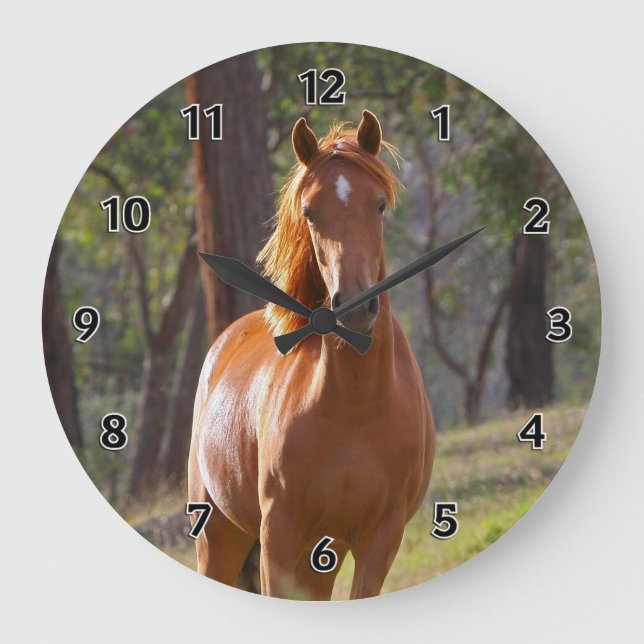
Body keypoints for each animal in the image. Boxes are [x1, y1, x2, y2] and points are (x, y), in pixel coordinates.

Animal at [188, 110, 435, 600]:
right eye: (310, 211)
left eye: (379, 205)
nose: (355, 306)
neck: (355, 405)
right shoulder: (280, 537)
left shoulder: (379, 539)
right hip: (219, 538)